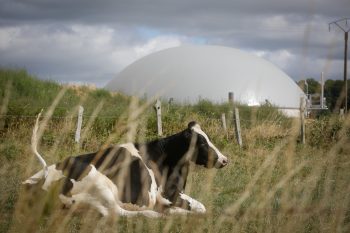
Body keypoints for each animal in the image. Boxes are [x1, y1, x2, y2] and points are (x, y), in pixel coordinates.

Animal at [23, 111, 228, 217]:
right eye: (201, 143)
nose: (225, 159)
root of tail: (47, 173)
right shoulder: (168, 195)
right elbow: (201, 208)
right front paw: (176, 212)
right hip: (100, 185)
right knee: (117, 212)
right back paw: (153, 215)